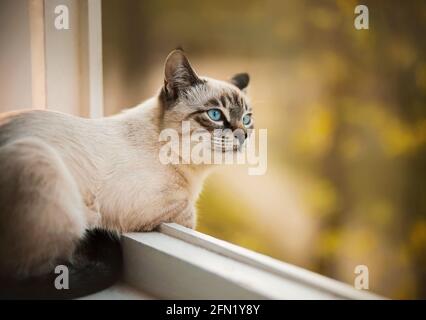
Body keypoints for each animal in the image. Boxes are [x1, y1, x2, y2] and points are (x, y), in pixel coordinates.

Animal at [0, 49, 253, 298]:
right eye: (215, 115)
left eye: (247, 119)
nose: (244, 135)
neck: (194, 176)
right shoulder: (160, 208)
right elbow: (188, 216)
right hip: (38, 159)